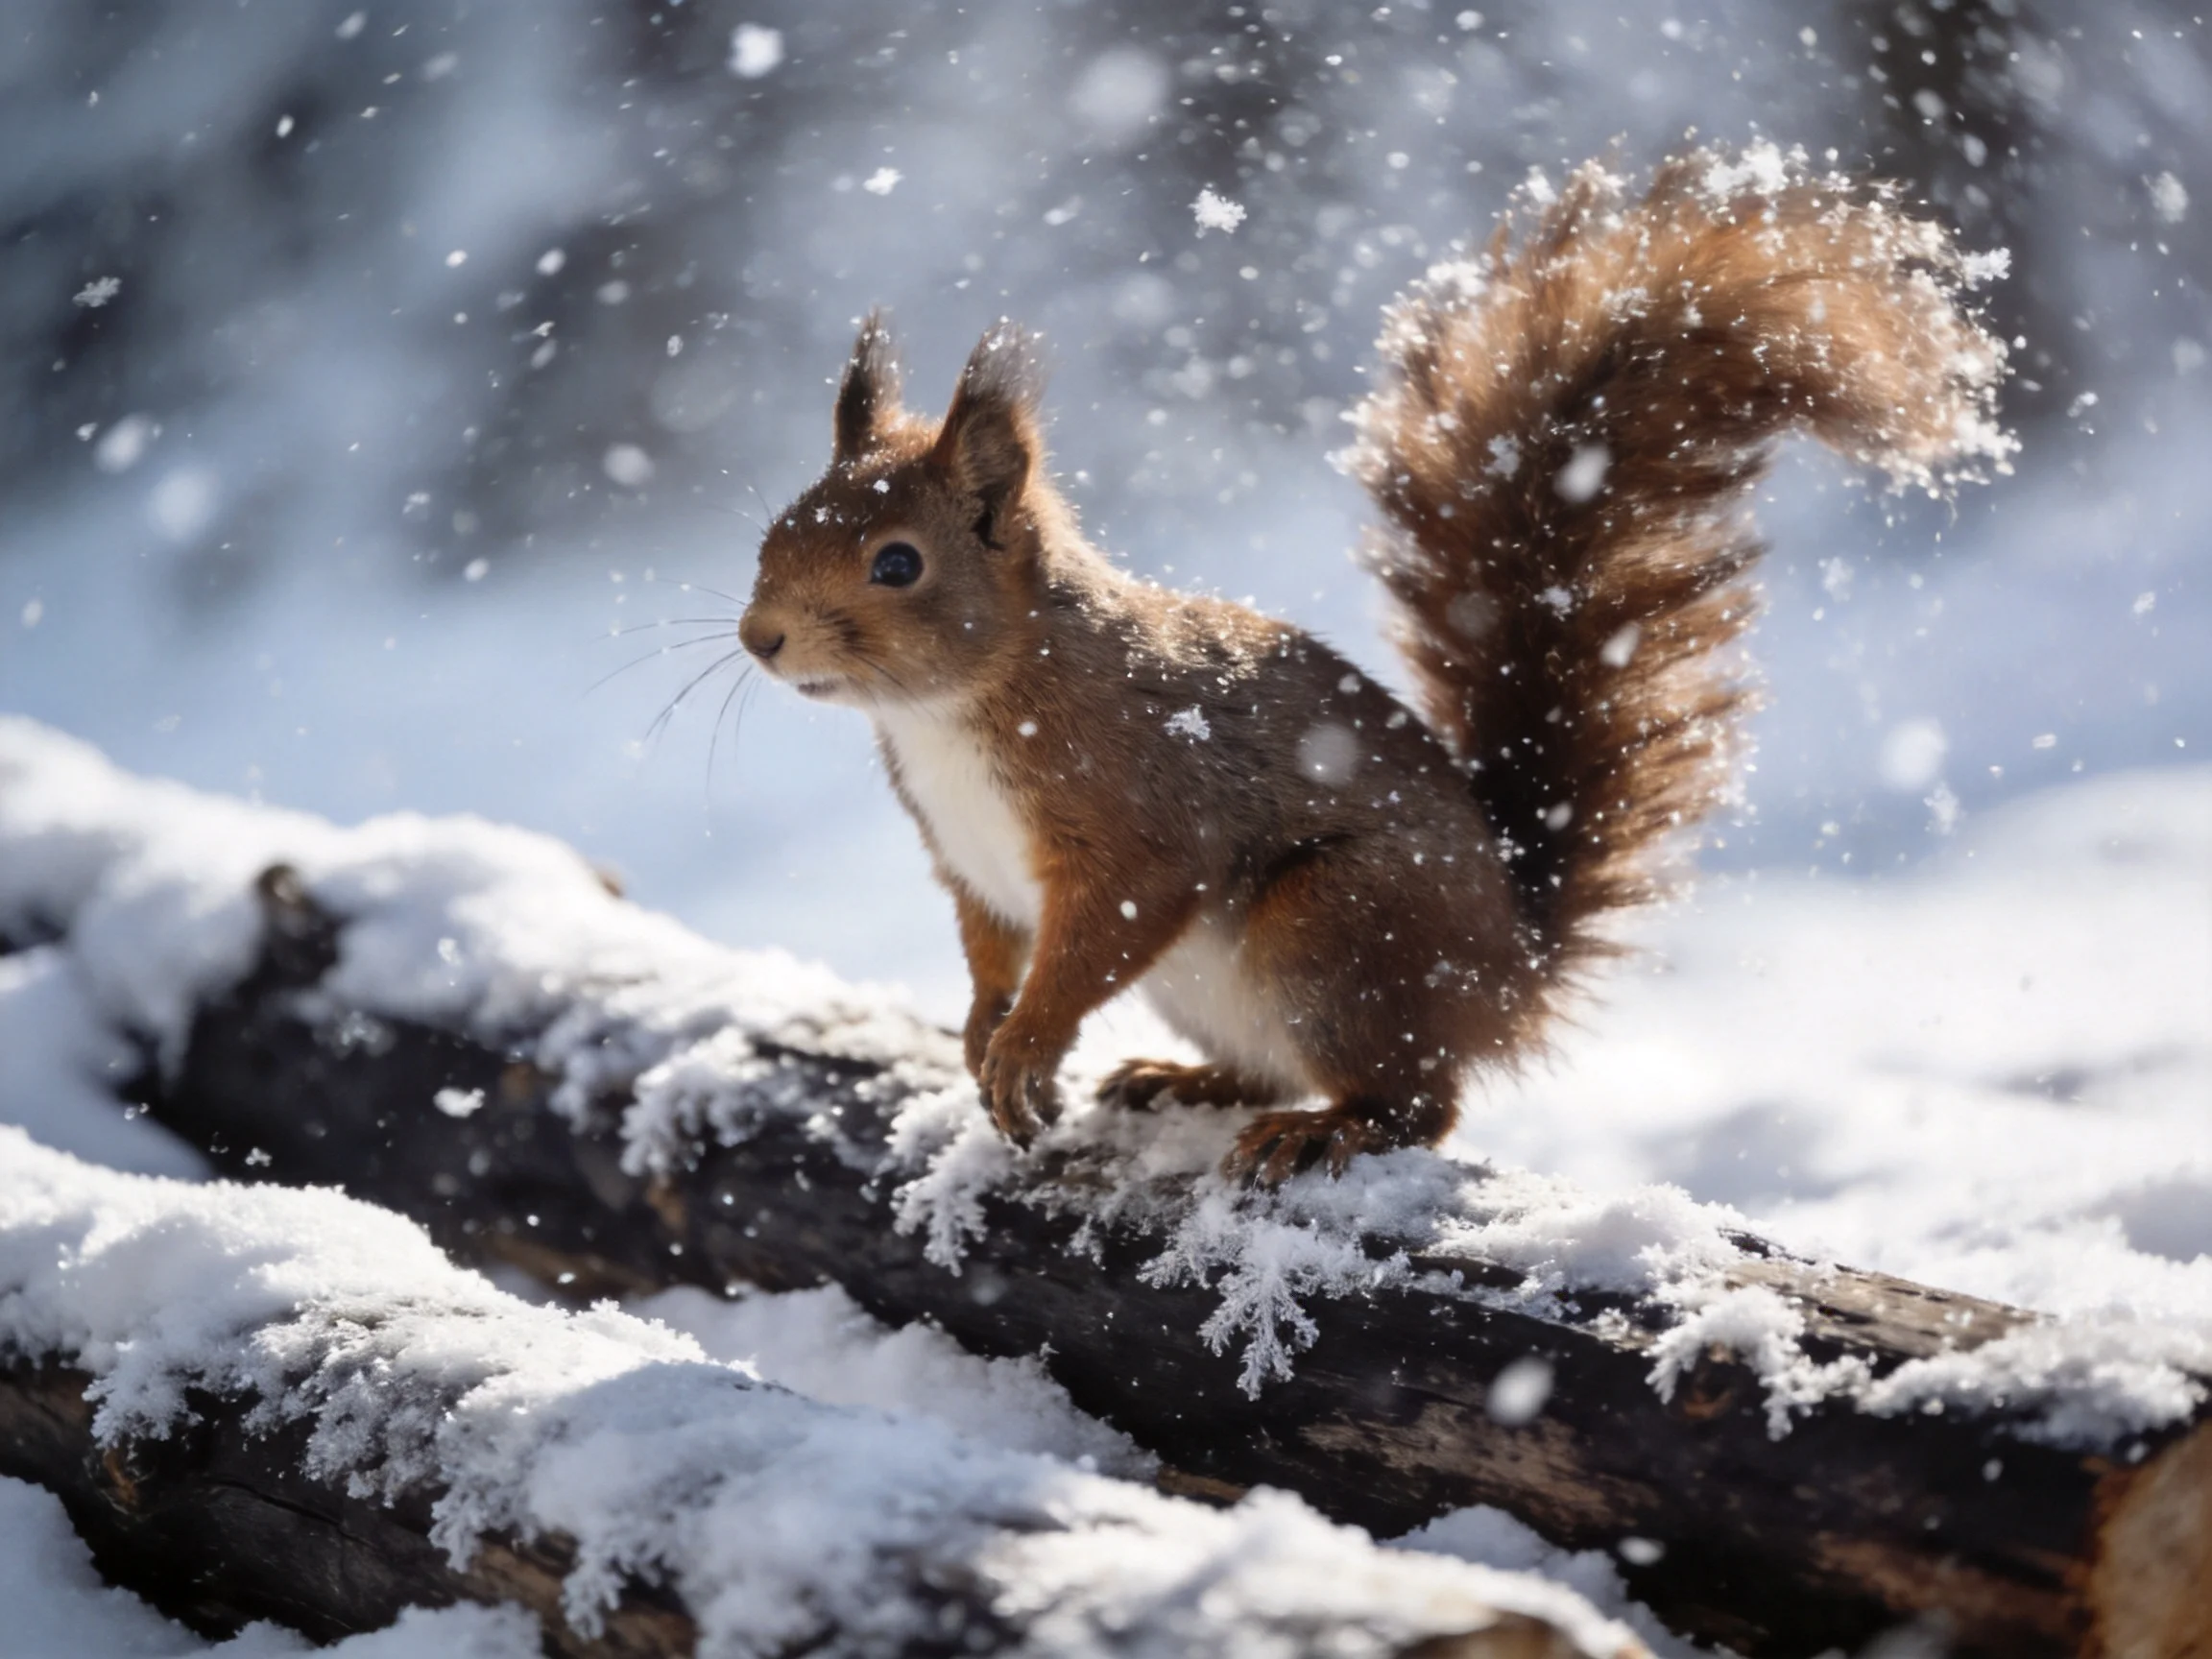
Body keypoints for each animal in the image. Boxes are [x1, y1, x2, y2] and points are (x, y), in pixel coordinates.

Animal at [737, 147, 2009, 1185]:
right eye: (779, 525)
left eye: (897, 563)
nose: (760, 638)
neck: (958, 705)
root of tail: (1509, 975)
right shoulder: (970, 867)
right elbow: (989, 953)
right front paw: (978, 1031)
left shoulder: (1133, 814)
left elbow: (1100, 932)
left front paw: (1027, 1044)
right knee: (1283, 1069)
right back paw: (1189, 1081)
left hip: (1334, 931)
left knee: (1419, 1104)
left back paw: (1324, 1132)